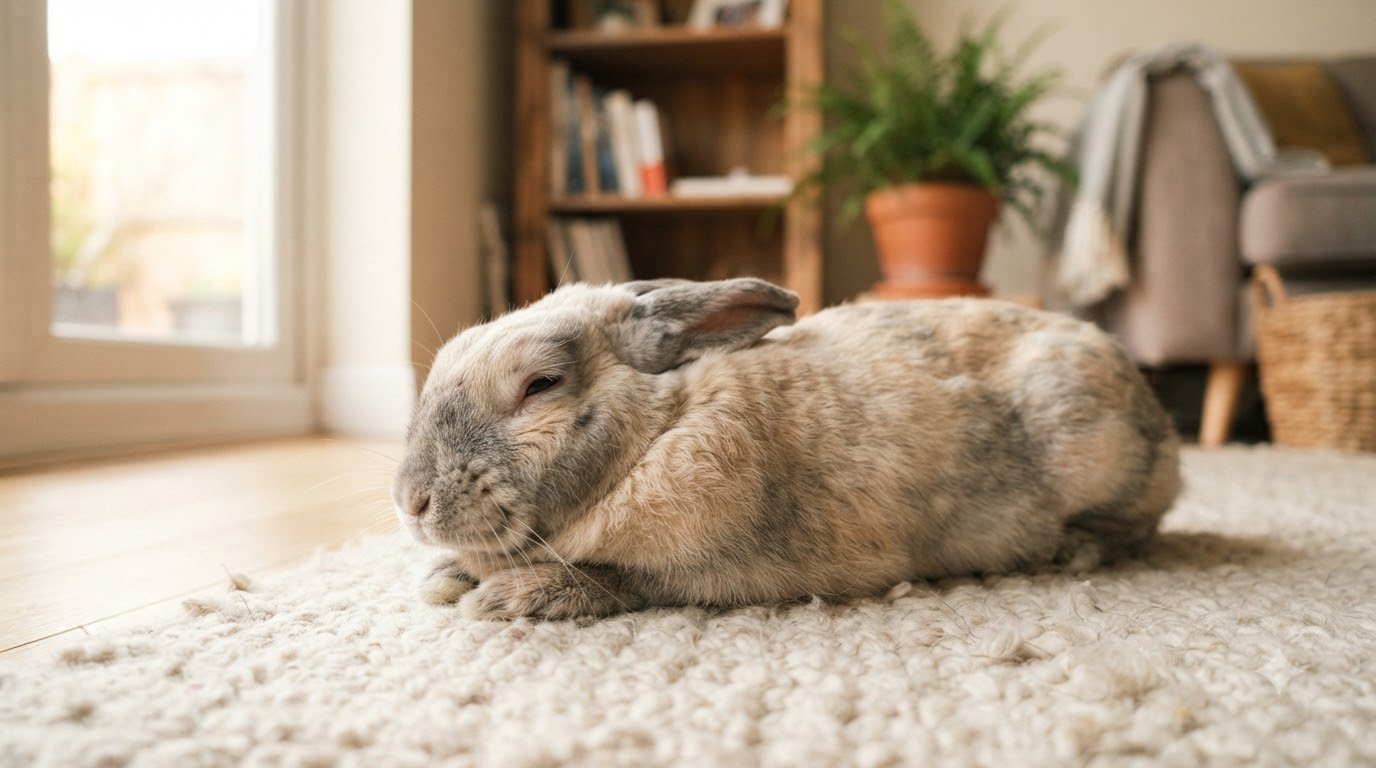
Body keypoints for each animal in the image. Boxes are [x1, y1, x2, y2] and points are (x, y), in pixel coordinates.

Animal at [393, 278, 1180, 620]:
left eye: (541, 385)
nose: (410, 502)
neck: (659, 429)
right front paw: (443, 576)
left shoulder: (706, 571)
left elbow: (620, 581)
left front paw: (507, 597)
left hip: (1095, 450)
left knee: (1139, 528)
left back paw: (1074, 550)